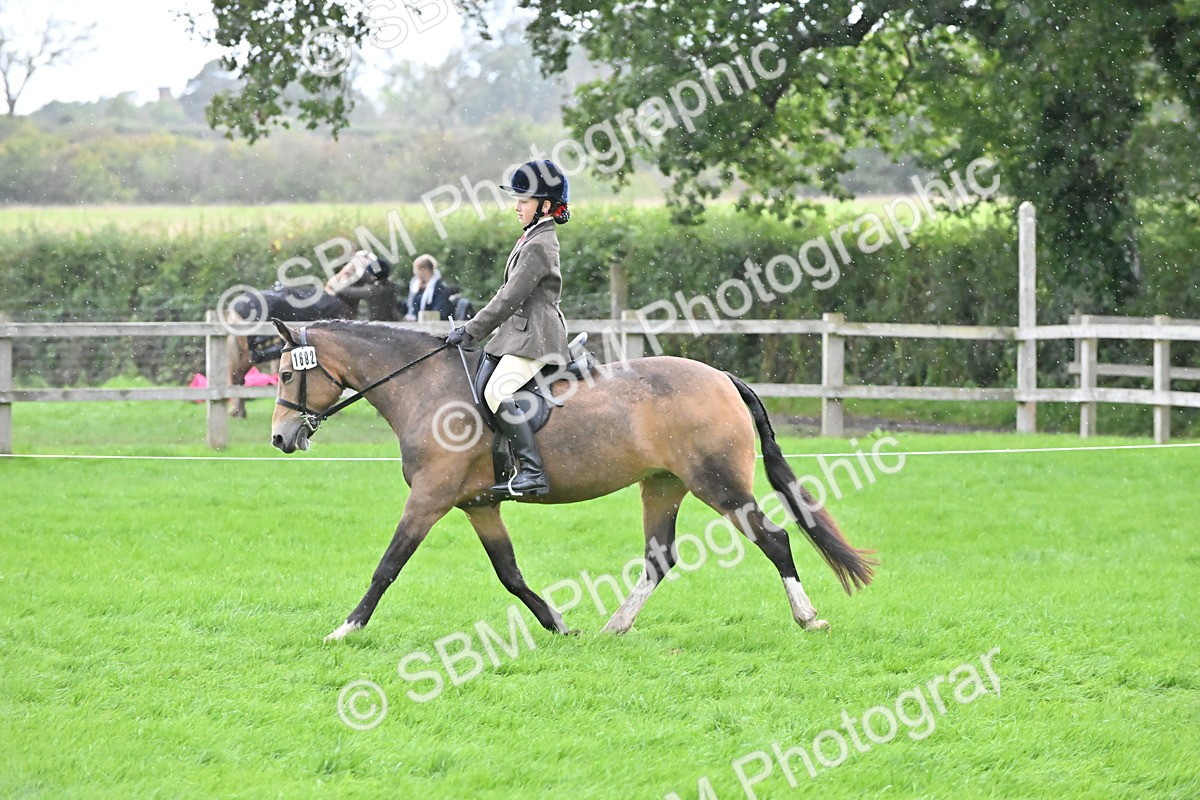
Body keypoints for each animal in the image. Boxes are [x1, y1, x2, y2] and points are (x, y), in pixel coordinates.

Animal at [268, 319, 876, 641]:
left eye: (286, 375)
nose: (279, 438)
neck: (425, 388)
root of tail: (722, 377)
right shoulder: (478, 505)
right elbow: (510, 574)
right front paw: (559, 624)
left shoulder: (430, 498)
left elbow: (388, 565)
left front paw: (346, 629)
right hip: (662, 484)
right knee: (659, 557)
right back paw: (614, 627)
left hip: (719, 484)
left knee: (774, 539)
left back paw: (808, 617)